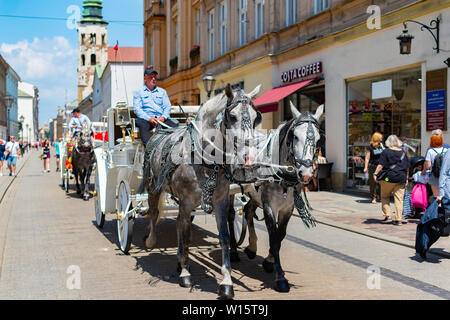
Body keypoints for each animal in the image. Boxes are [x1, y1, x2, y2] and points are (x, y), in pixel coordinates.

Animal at [144, 84, 262, 300]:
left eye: (256, 117)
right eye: (232, 117)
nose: (249, 157)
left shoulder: (220, 201)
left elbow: (223, 237)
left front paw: (226, 282)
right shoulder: (186, 201)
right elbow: (184, 236)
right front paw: (185, 274)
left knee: (179, 224)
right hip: (152, 185)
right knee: (155, 213)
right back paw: (151, 241)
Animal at [229, 102, 324, 292]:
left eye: (318, 140)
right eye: (295, 136)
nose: (306, 173)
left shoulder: (287, 208)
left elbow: (280, 236)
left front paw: (269, 261)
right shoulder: (269, 207)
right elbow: (273, 238)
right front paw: (280, 278)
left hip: (254, 193)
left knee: (248, 211)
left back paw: (252, 247)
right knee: (229, 217)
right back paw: (234, 251)